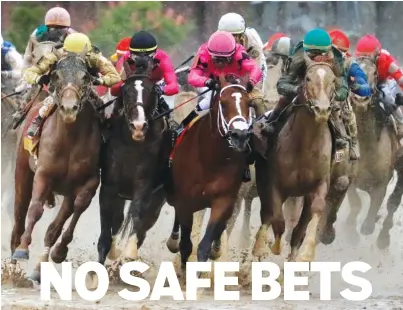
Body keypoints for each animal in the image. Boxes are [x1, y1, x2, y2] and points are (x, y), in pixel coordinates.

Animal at [10, 54, 102, 282]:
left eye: (85, 76)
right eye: (56, 75)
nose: (69, 108)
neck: (69, 139)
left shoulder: (89, 180)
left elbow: (77, 207)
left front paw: (59, 251)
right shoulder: (43, 174)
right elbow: (35, 210)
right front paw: (23, 249)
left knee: (56, 223)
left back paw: (37, 269)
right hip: (22, 172)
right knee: (19, 216)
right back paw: (13, 261)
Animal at [164, 74, 252, 264]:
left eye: (249, 103)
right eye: (223, 103)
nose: (240, 136)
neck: (211, 160)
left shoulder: (223, 200)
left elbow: (204, 245)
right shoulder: (185, 200)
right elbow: (186, 244)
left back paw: (217, 248)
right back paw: (172, 241)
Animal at [256, 55, 338, 262]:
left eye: (333, 80)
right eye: (307, 78)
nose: (322, 110)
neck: (305, 146)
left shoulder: (319, 184)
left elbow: (315, 212)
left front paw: (307, 252)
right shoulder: (275, 184)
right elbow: (278, 220)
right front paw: (273, 246)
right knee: (266, 215)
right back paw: (258, 247)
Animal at [348, 55, 400, 245]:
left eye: (375, 73)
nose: (360, 98)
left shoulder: (382, 182)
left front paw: (368, 225)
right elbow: (355, 203)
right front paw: (350, 232)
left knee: (394, 202)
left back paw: (383, 238)